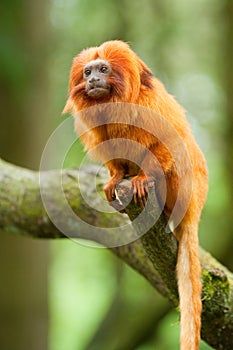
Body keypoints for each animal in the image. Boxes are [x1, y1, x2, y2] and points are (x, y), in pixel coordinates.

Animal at [63, 39, 208, 348]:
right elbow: (113, 156)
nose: (93, 80)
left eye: (103, 70)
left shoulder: (151, 106)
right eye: (87, 72)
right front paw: (117, 178)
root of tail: (194, 211)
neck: (111, 102)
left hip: (184, 189)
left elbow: (168, 141)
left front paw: (142, 178)